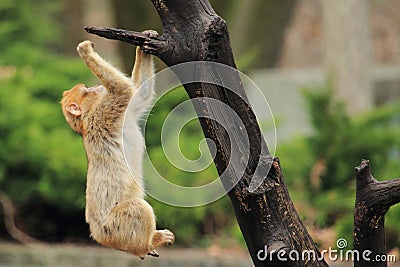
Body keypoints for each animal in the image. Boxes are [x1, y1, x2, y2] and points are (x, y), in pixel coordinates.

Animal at [60, 31, 173, 260]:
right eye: (86, 90)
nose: (96, 86)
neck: (87, 116)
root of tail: (98, 236)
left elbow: (139, 94)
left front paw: (145, 42)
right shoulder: (106, 111)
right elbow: (124, 89)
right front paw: (85, 51)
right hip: (116, 227)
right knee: (138, 208)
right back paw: (147, 244)